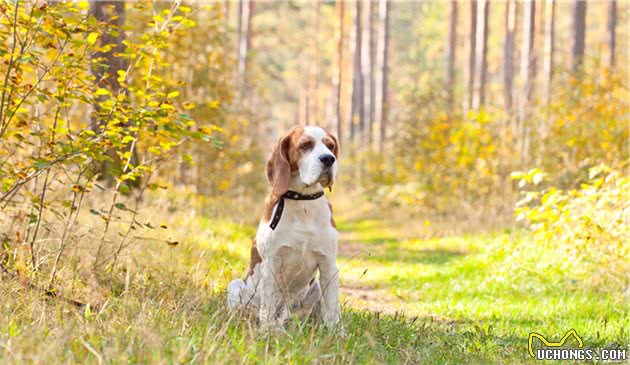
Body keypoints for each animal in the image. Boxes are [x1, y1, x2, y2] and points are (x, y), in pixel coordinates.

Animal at [230, 125, 344, 328]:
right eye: (305, 145)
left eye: (330, 146)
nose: (329, 159)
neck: (303, 201)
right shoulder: (271, 263)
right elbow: (267, 308)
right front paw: (266, 331)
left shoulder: (329, 264)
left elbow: (333, 311)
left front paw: (337, 333)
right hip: (235, 285)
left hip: (315, 287)